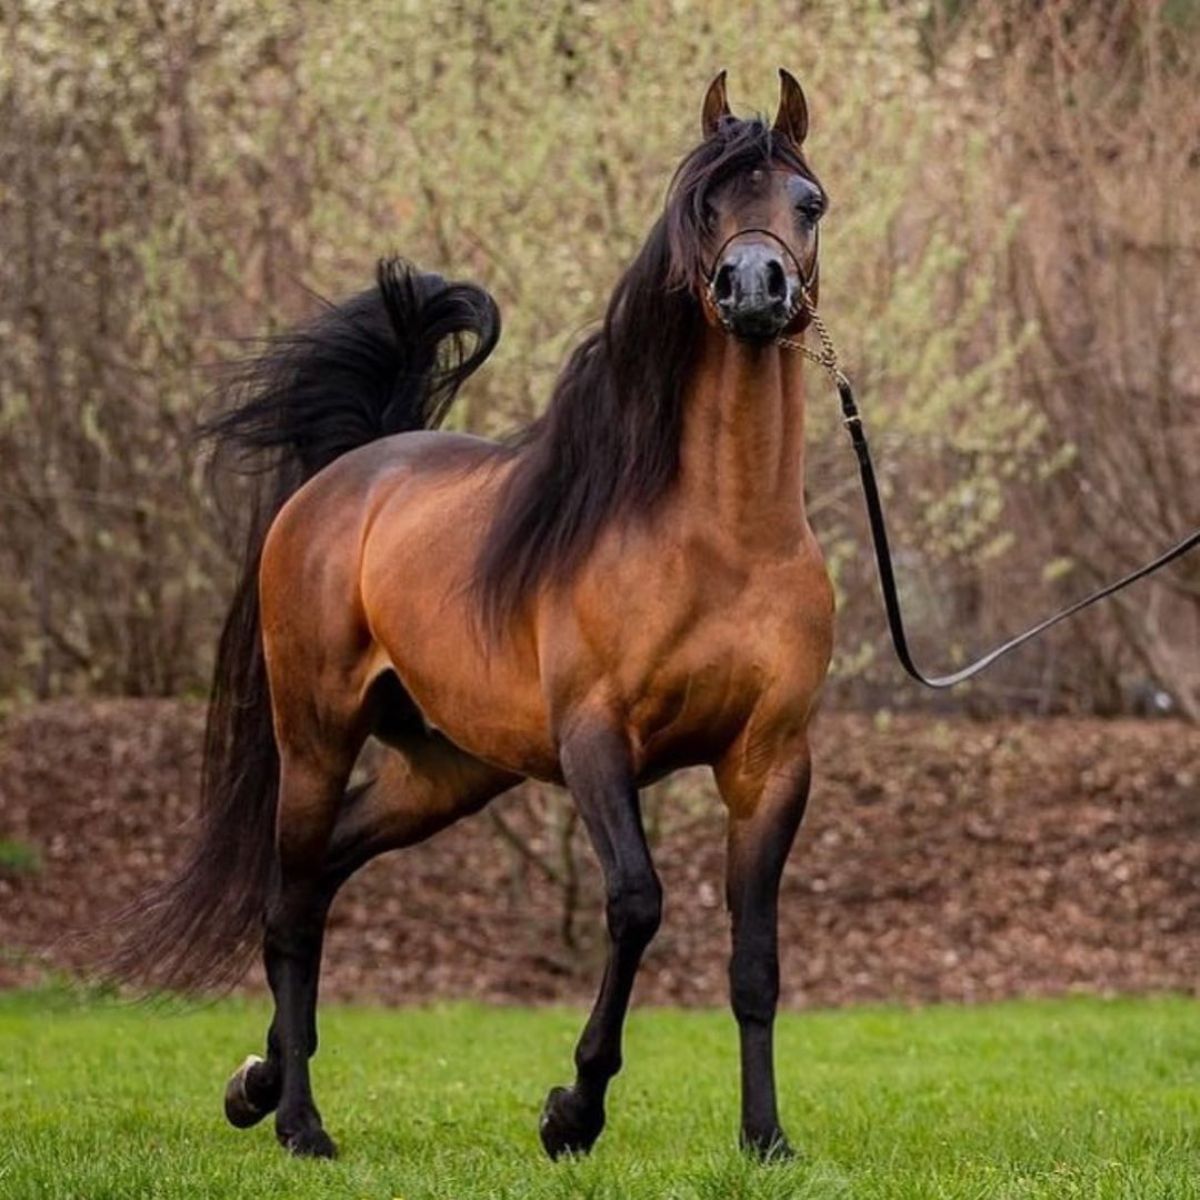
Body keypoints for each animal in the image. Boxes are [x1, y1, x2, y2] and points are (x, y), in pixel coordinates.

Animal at [119, 68, 835, 1161]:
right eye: (707, 202)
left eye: (809, 201)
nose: (754, 288)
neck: (728, 540)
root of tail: (343, 477)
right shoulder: (596, 741)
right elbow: (636, 903)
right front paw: (572, 1110)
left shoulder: (769, 764)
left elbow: (755, 961)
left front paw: (766, 1141)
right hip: (315, 738)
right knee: (289, 909)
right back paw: (300, 1125)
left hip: (446, 771)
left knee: (322, 876)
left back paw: (258, 1083)